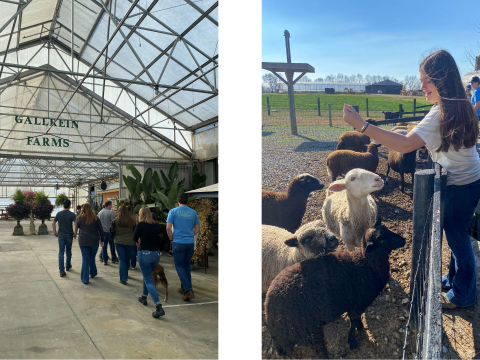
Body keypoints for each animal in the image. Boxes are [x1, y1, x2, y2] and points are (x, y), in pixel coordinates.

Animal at [264, 218, 406, 358]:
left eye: (387, 229)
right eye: (382, 239)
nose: (403, 240)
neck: (367, 264)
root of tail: (269, 310)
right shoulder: (357, 306)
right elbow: (354, 322)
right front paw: (354, 340)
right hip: (309, 330)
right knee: (319, 350)